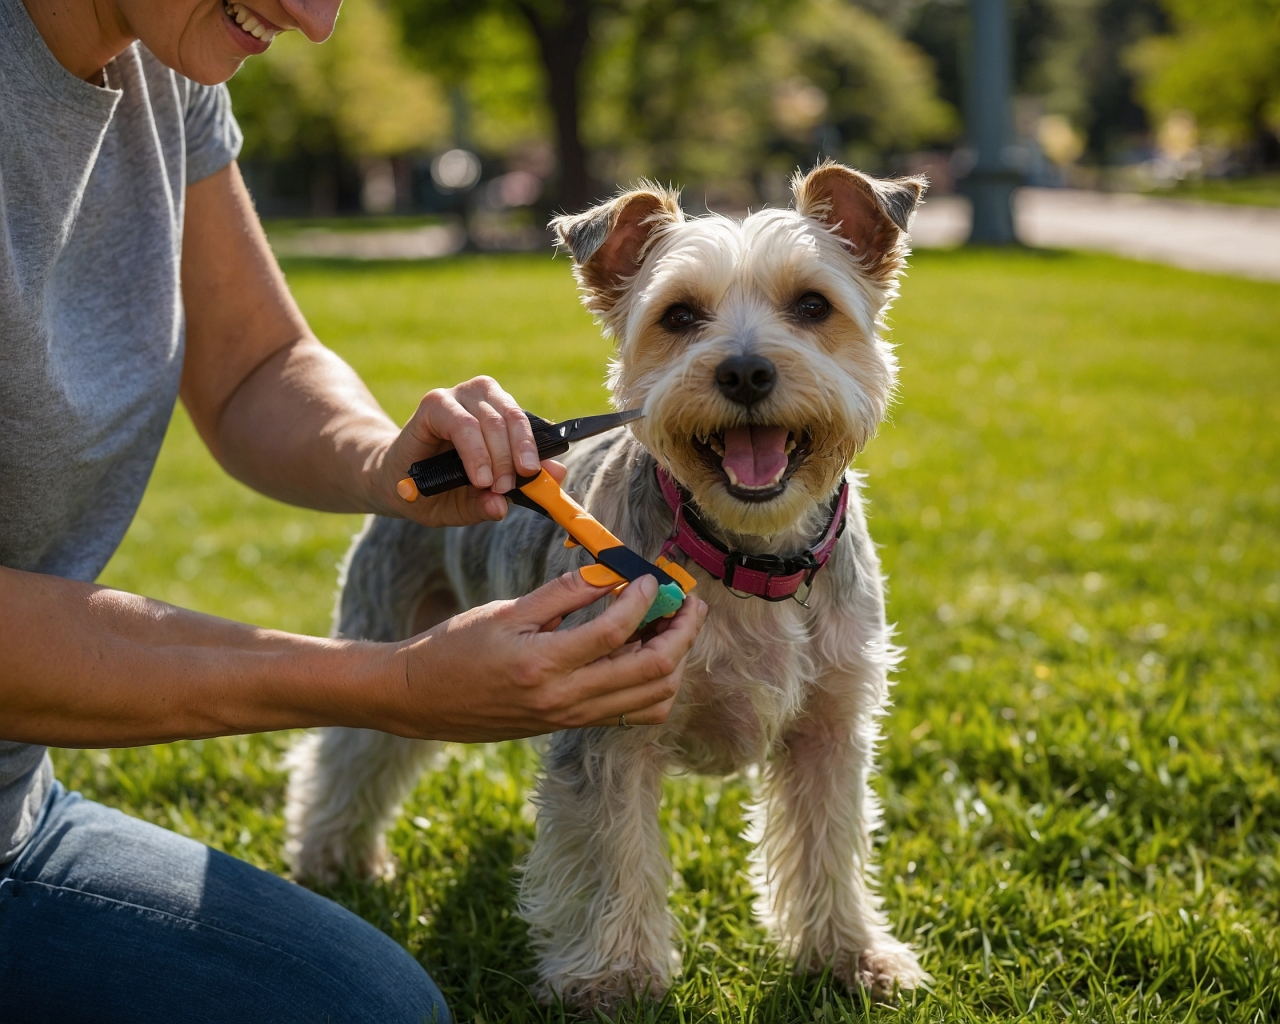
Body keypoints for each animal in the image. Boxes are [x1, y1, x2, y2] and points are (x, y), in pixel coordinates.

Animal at [285, 158, 931, 1008]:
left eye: (813, 306)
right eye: (680, 315)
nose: (745, 369)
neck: (748, 555)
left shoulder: (829, 727)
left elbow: (828, 845)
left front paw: (852, 957)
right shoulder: (607, 729)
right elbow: (613, 852)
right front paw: (615, 976)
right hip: (383, 634)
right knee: (346, 756)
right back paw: (333, 860)